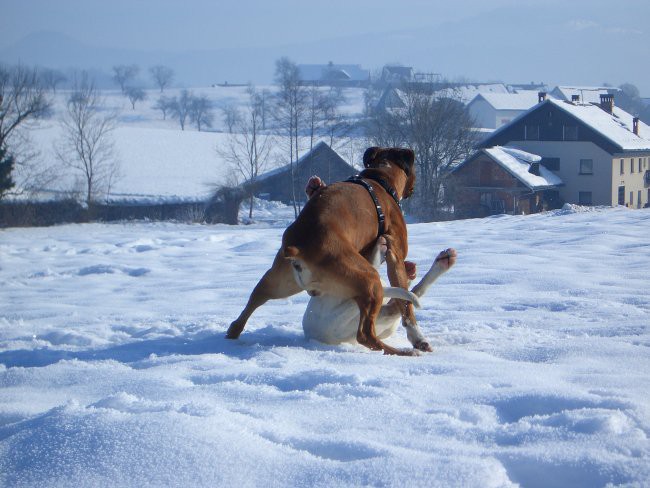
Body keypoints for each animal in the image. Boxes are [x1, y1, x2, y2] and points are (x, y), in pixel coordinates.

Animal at [225, 147, 428, 356]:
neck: (380, 178)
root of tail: (301, 247)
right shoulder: (396, 256)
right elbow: (406, 305)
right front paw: (417, 337)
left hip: (279, 282)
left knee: (253, 301)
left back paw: (233, 332)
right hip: (369, 280)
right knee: (365, 334)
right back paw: (400, 352)